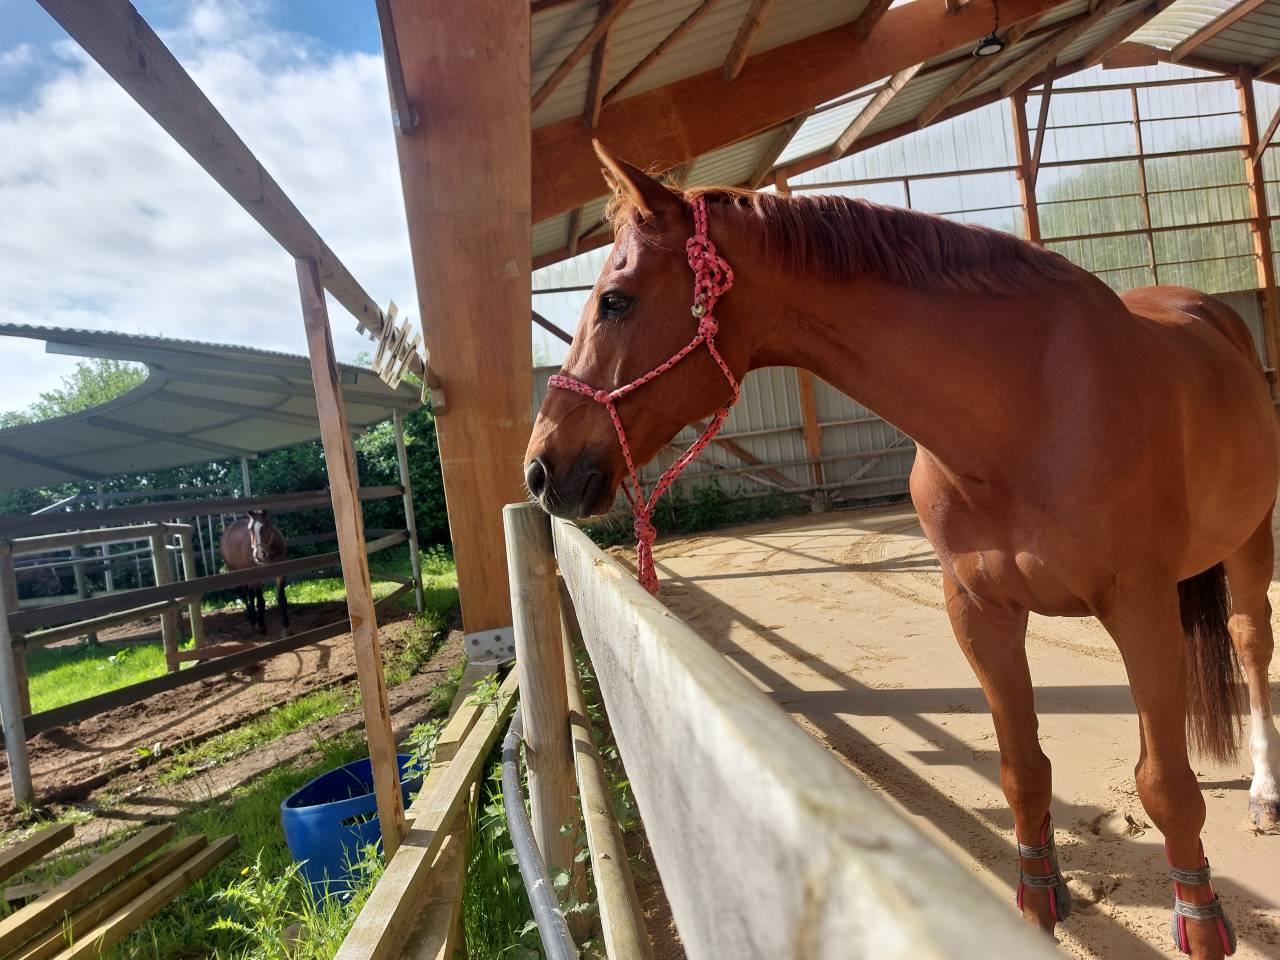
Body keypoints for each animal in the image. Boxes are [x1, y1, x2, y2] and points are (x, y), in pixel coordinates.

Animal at [524, 143, 1280, 959]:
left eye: (615, 300)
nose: (540, 469)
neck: (1028, 408)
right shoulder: (979, 613)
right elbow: (1025, 778)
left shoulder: (1138, 604)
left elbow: (1170, 792)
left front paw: (1200, 920)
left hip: (1248, 542)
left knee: (1249, 645)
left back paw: (1265, 792)